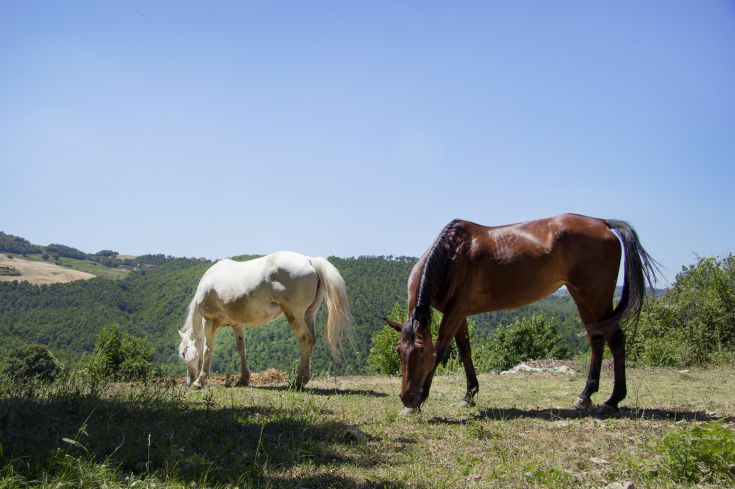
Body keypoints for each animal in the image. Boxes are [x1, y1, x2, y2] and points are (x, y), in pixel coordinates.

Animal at [178, 251, 352, 389]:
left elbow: (207, 348)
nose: (188, 380)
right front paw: (243, 379)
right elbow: (241, 349)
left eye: (183, 352)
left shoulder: (209, 320)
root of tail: (310, 260)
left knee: (306, 340)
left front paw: (200, 381)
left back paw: (298, 381)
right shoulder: (237, 324)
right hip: (309, 315)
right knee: (312, 340)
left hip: (295, 315)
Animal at [384, 213, 658, 415]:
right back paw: (586, 395)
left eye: (420, 351)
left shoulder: (455, 312)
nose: (407, 398)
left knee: (616, 340)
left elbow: (440, 350)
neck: (452, 255)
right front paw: (469, 395)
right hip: (581, 295)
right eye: (398, 352)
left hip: (596, 296)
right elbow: (465, 352)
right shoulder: (459, 314)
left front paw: (422, 399)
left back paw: (613, 400)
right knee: (597, 339)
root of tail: (603, 222)